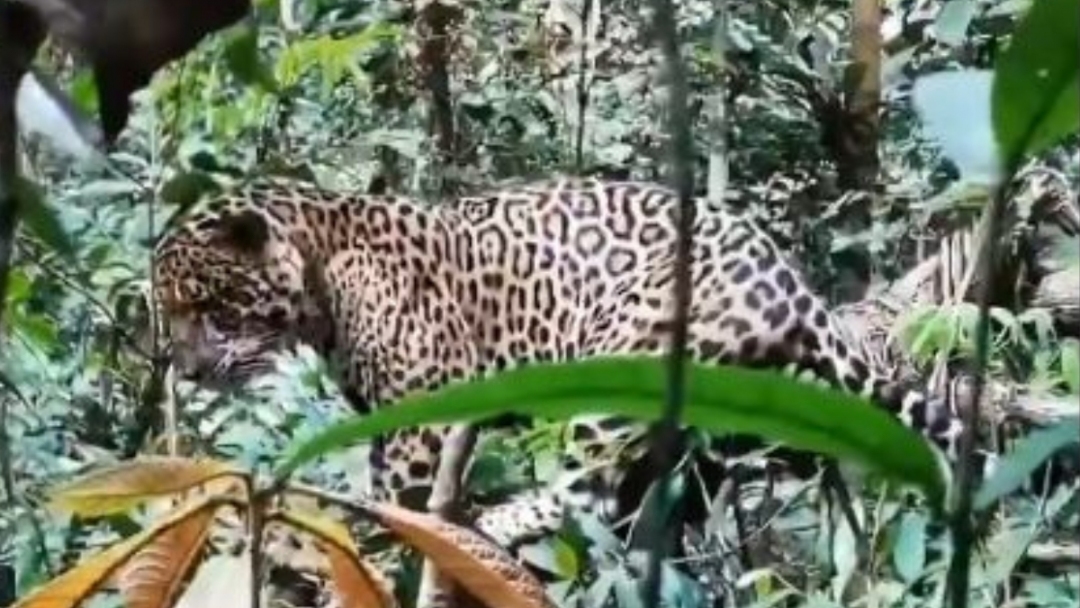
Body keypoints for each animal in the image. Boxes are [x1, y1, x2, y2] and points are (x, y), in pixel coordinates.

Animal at [153, 174, 975, 599]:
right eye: (172, 315)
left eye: (209, 308)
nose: (187, 370)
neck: (321, 269)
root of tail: (794, 287)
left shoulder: (418, 423)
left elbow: (388, 504)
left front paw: (353, 551)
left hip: (623, 361)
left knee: (590, 491)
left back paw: (494, 523)